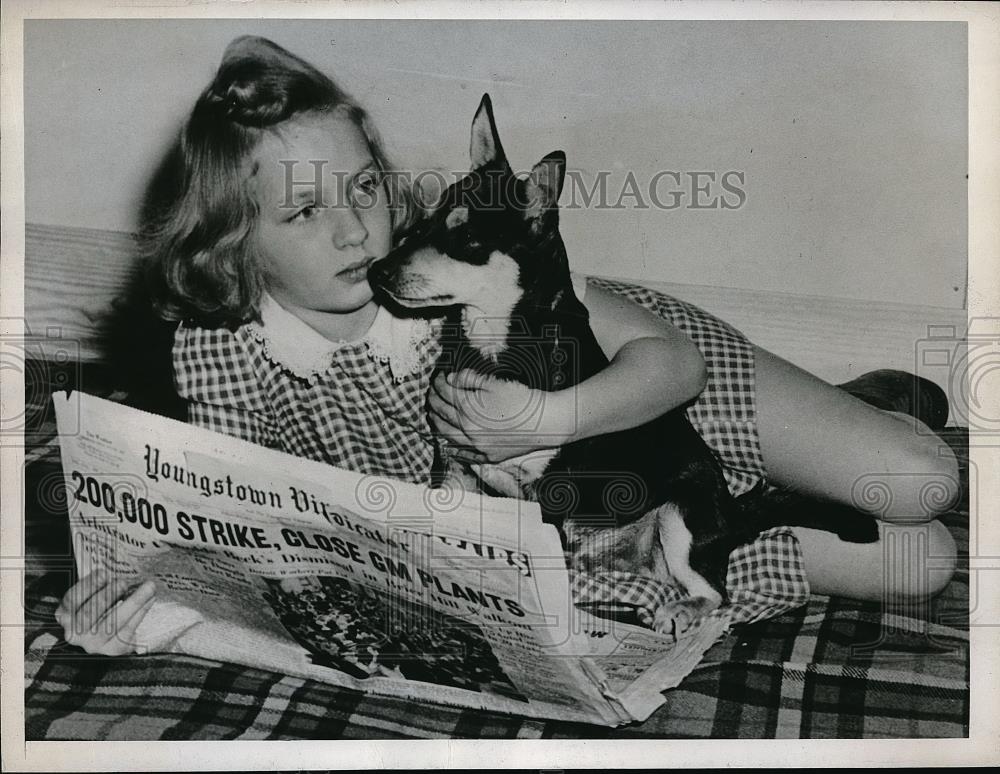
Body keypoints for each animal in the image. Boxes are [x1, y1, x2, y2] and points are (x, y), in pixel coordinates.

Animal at [368, 94, 876, 632]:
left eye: (466, 240)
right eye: (423, 222)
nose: (377, 272)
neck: (493, 339)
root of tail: (732, 518)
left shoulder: (550, 496)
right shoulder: (454, 467)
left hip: (680, 517)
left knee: (716, 594)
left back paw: (678, 610)